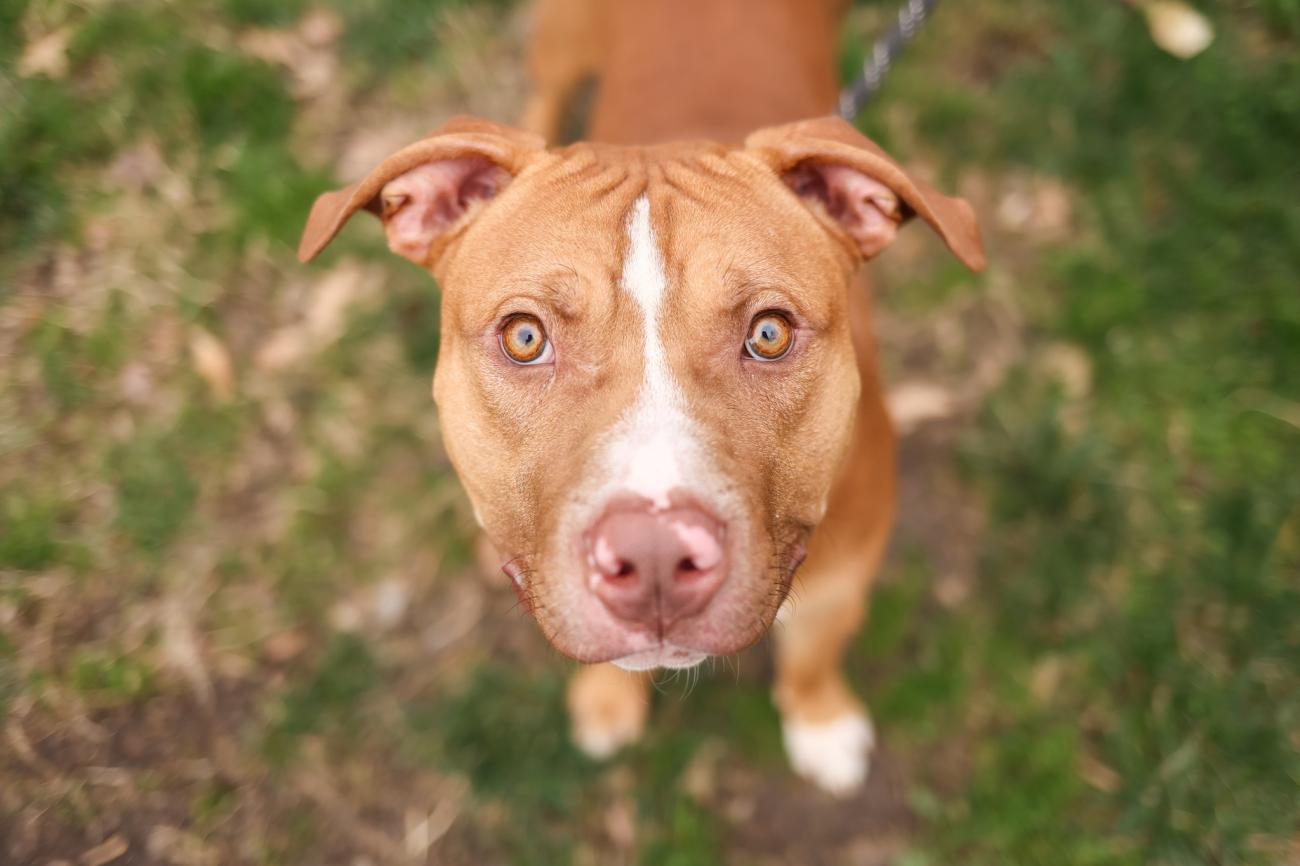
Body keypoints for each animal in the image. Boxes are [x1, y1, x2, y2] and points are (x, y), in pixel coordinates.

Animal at [297, 0, 982, 790]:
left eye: (770, 332)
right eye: (524, 337)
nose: (654, 559)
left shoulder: (843, 580)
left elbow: (813, 655)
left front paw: (819, 719)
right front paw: (606, 702)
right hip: (560, 41)